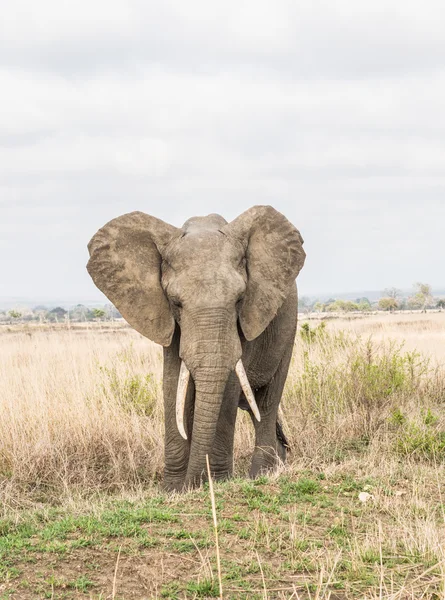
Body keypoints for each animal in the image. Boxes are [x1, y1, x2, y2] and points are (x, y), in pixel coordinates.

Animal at [85, 204, 304, 490]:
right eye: (176, 302)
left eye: (239, 300)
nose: (196, 481)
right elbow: (172, 384)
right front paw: (173, 490)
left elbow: (228, 385)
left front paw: (217, 482)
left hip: (287, 329)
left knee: (266, 402)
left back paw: (262, 474)